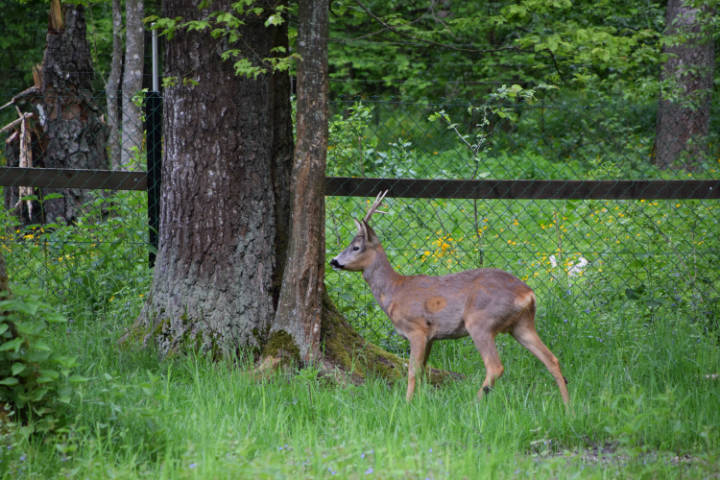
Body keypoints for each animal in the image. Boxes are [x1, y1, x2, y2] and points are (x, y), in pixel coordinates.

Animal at [330, 189, 572, 404]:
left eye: (356, 247)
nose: (333, 261)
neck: (394, 290)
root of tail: (528, 294)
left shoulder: (417, 329)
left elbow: (412, 370)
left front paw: (406, 404)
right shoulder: (431, 337)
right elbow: (422, 371)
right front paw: (420, 401)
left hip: (481, 322)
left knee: (495, 366)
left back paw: (474, 403)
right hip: (521, 324)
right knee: (552, 359)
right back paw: (568, 408)